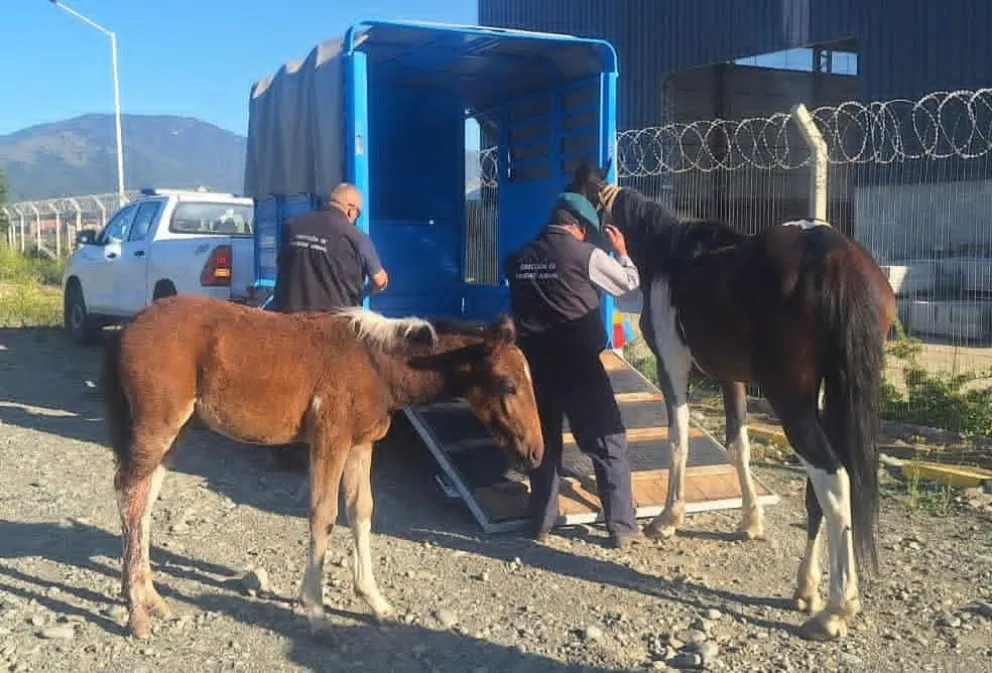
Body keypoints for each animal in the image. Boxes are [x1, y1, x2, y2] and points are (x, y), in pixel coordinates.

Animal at [101, 294, 544, 639]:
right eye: (508, 385)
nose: (536, 453)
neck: (376, 364)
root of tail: (128, 327)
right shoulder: (331, 439)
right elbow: (323, 514)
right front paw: (317, 612)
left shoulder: (361, 444)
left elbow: (361, 510)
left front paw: (376, 601)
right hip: (157, 426)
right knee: (130, 495)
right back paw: (136, 612)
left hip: (177, 431)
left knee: (144, 501)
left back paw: (151, 598)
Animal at [565, 163, 896, 641]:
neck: (667, 254)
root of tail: (837, 257)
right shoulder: (732, 379)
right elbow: (738, 448)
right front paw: (750, 521)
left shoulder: (673, 368)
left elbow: (679, 442)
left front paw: (668, 519)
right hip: (828, 396)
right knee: (823, 488)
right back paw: (806, 588)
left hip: (792, 401)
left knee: (833, 481)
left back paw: (836, 609)